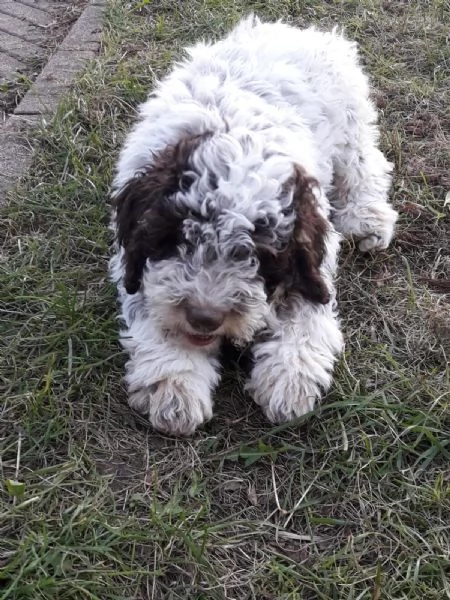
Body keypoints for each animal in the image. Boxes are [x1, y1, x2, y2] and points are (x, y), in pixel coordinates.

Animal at [109, 14, 398, 436]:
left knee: (365, 162)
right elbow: (153, 312)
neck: (230, 133)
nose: (205, 317)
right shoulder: (132, 262)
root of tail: (295, 30)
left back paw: (367, 216)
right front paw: (175, 385)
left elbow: (305, 313)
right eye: (176, 238)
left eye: (259, 256)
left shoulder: (309, 258)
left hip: (351, 121)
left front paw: (290, 380)